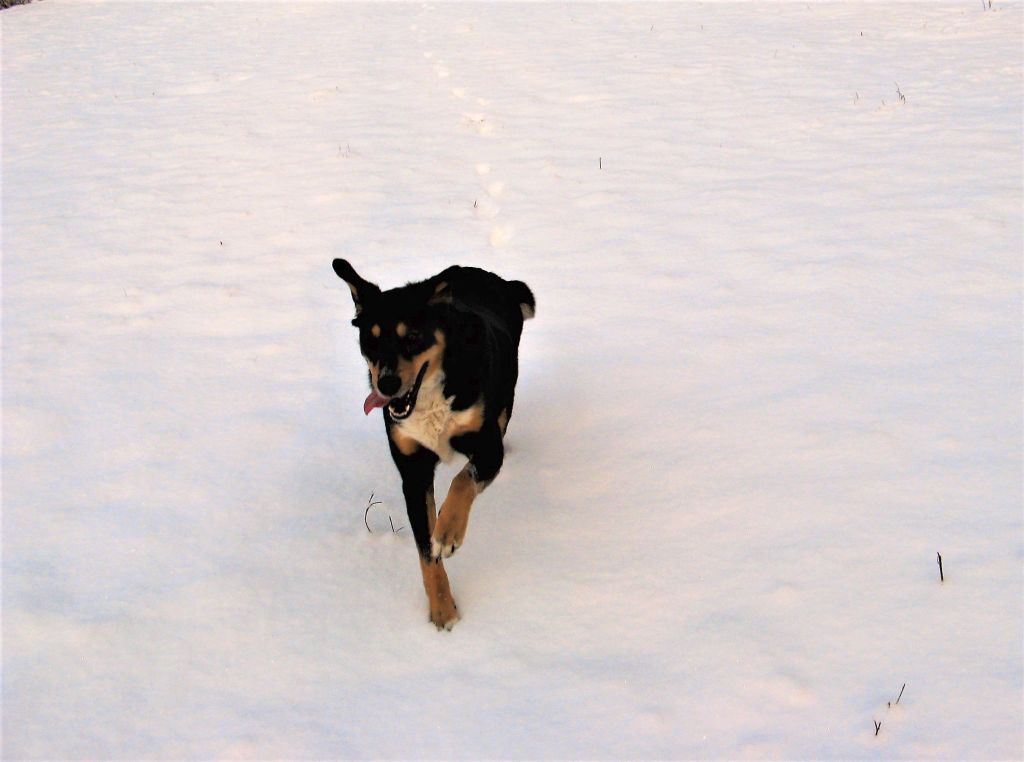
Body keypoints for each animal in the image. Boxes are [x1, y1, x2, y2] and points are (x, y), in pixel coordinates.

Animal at [333, 259, 535, 630]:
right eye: (371, 340)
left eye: (412, 337)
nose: (386, 384)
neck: (429, 400)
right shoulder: (412, 472)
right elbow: (425, 551)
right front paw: (443, 610)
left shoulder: (487, 448)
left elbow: (462, 481)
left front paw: (449, 531)